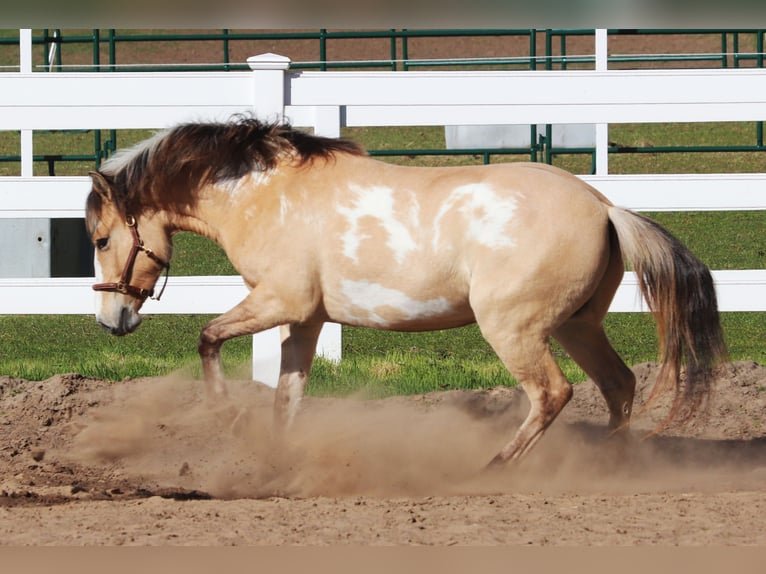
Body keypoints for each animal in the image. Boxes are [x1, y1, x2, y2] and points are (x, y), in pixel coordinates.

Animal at [86, 117, 727, 466]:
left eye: (99, 238)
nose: (112, 320)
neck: (264, 193)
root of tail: (603, 205)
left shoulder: (282, 301)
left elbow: (208, 337)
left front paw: (225, 417)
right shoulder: (307, 318)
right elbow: (286, 396)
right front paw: (272, 458)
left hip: (514, 329)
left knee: (553, 394)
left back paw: (492, 468)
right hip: (577, 325)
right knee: (619, 385)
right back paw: (610, 467)